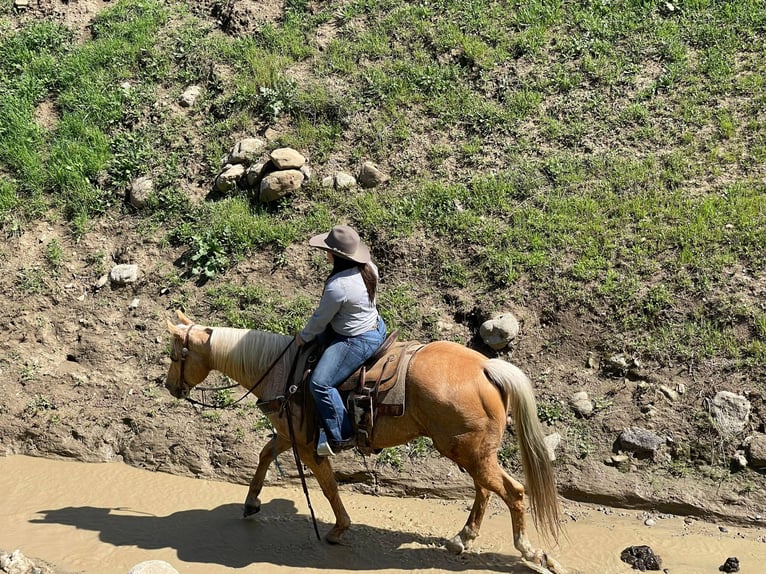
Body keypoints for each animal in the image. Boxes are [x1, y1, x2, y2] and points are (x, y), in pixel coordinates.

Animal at [165, 312, 568, 572]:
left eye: (174, 355)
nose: (170, 387)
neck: (283, 372)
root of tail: (486, 367)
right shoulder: (289, 435)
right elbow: (265, 455)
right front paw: (251, 503)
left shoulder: (307, 445)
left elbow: (328, 485)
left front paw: (338, 528)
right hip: (471, 452)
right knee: (484, 489)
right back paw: (462, 538)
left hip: (468, 451)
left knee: (513, 492)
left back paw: (531, 553)